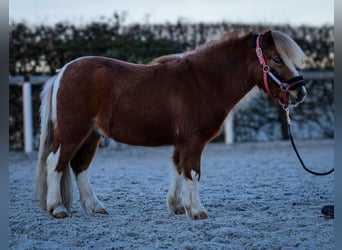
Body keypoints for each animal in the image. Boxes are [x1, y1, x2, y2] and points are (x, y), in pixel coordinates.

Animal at [34, 30, 308, 220]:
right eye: (276, 60)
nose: (300, 92)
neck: (204, 81)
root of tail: (62, 72)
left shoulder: (182, 142)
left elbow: (178, 169)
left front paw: (178, 206)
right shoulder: (193, 141)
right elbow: (193, 172)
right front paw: (197, 211)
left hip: (91, 135)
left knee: (79, 166)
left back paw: (95, 207)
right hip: (72, 132)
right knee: (56, 163)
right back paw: (57, 208)